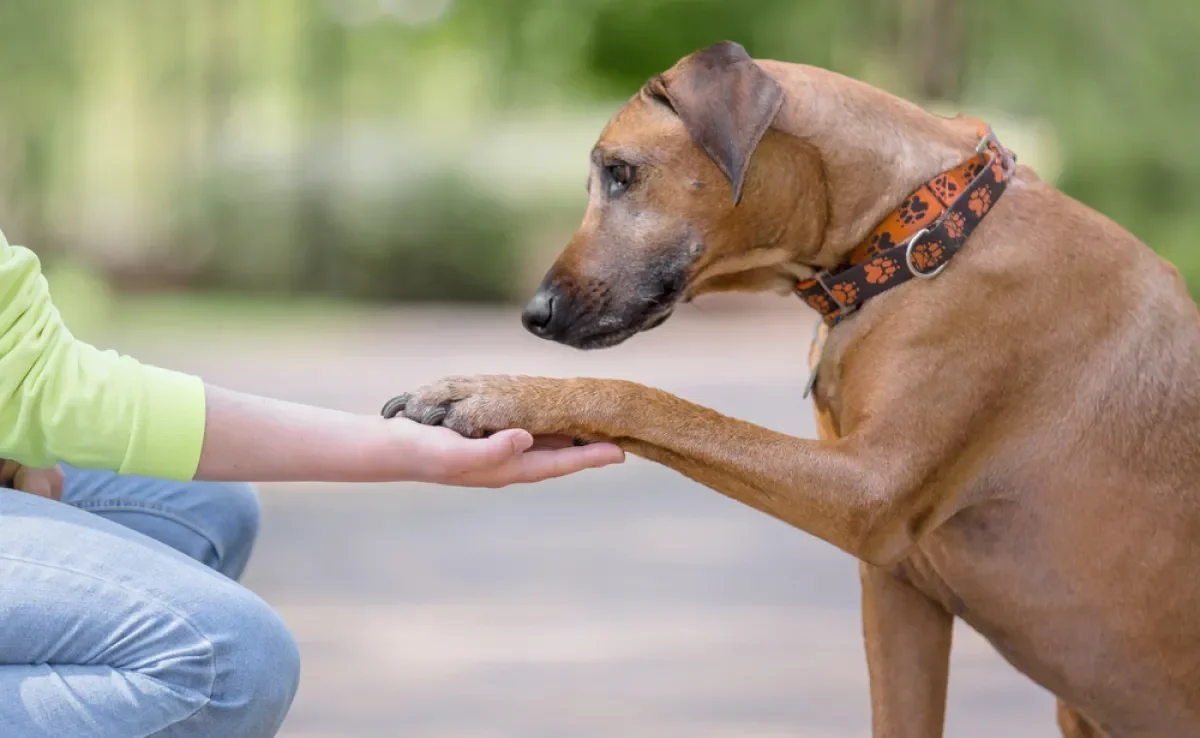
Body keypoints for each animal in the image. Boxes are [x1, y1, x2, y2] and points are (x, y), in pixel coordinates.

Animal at [384, 42, 1200, 738]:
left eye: (619, 172)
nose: (535, 314)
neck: (918, 231)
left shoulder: (867, 491)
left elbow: (656, 401)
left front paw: (493, 392)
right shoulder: (898, 589)